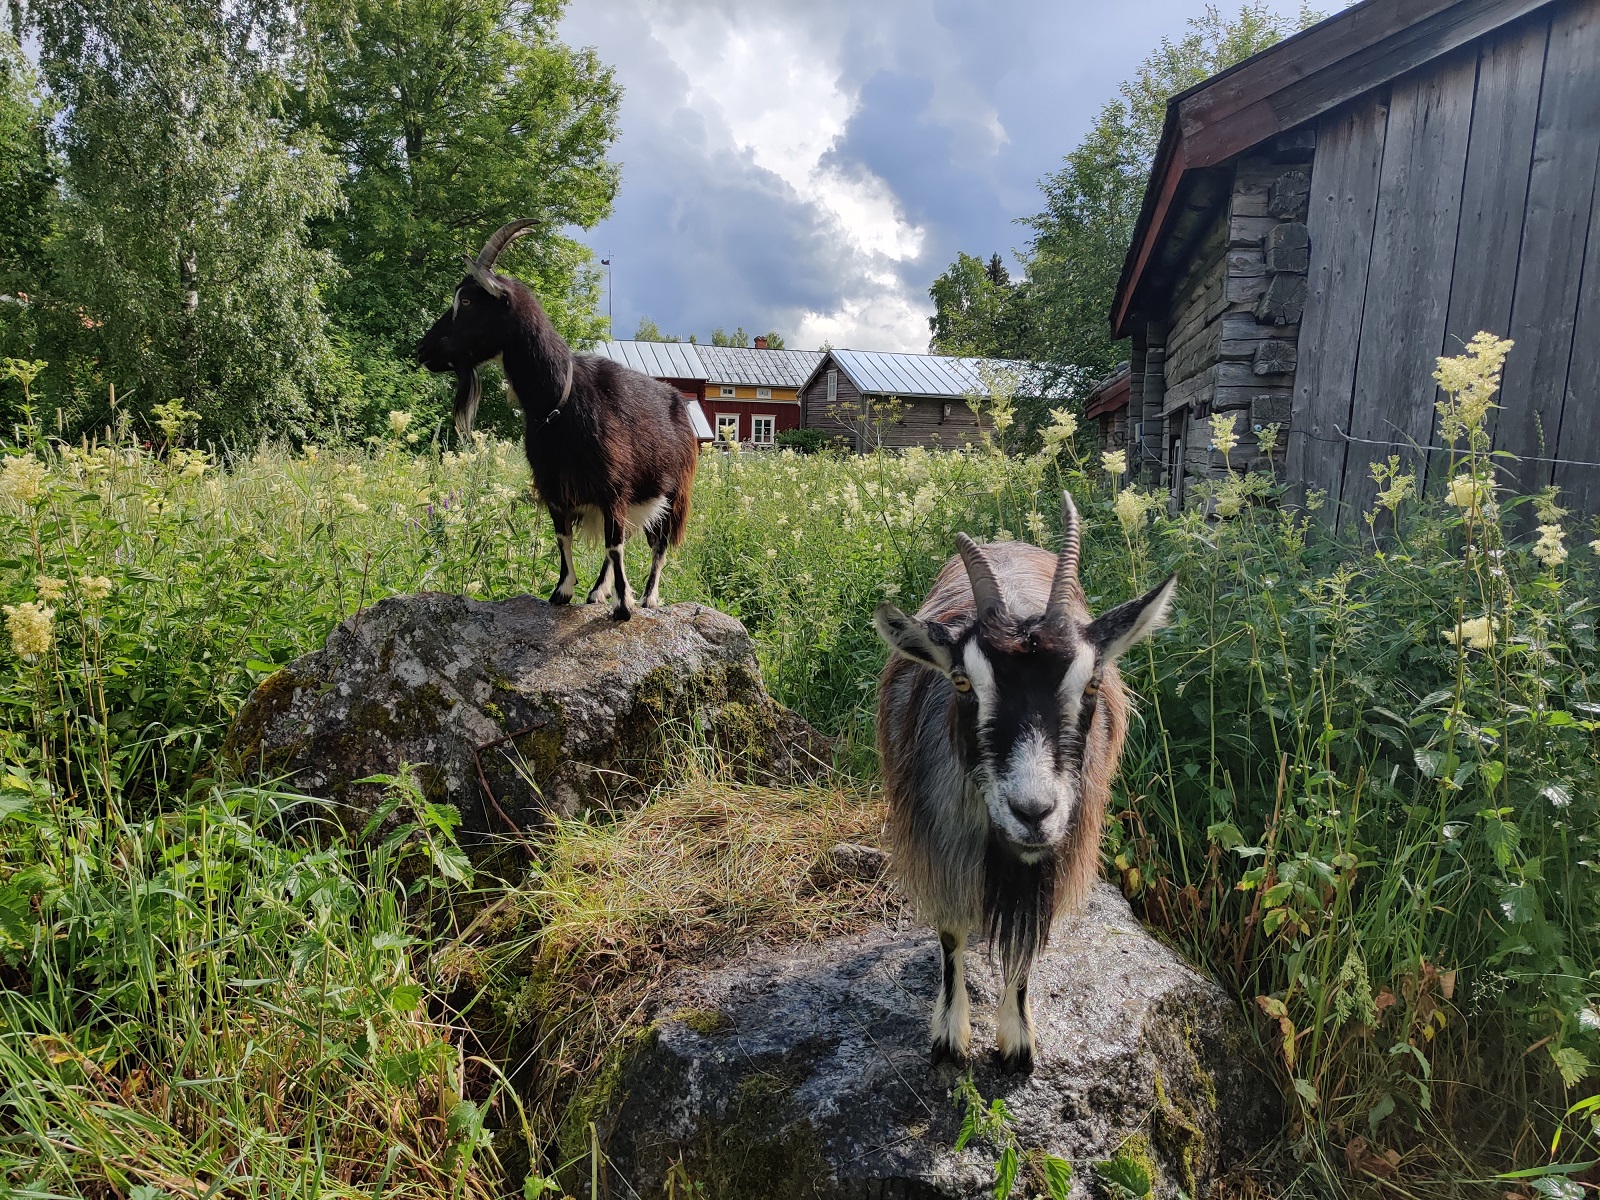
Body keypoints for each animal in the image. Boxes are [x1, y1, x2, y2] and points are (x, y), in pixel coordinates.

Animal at [417, 220, 699, 620]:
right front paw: (564, 591)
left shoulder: (613, 486)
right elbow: (563, 537)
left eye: (467, 301)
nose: (422, 350)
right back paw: (597, 592)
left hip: (672, 493)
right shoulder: (553, 486)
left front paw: (624, 606)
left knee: (658, 545)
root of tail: (679, 403)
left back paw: (648, 597)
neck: (559, 401)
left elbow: (615, 546)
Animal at [873, 493, 1176, 1071]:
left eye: (1092, 683)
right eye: (962, 683)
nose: (1033, 812)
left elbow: (1027, 939)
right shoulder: (940, 842)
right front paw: (950, 1036)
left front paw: (1018, 1041)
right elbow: (951, 933)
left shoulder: (1057, 854)